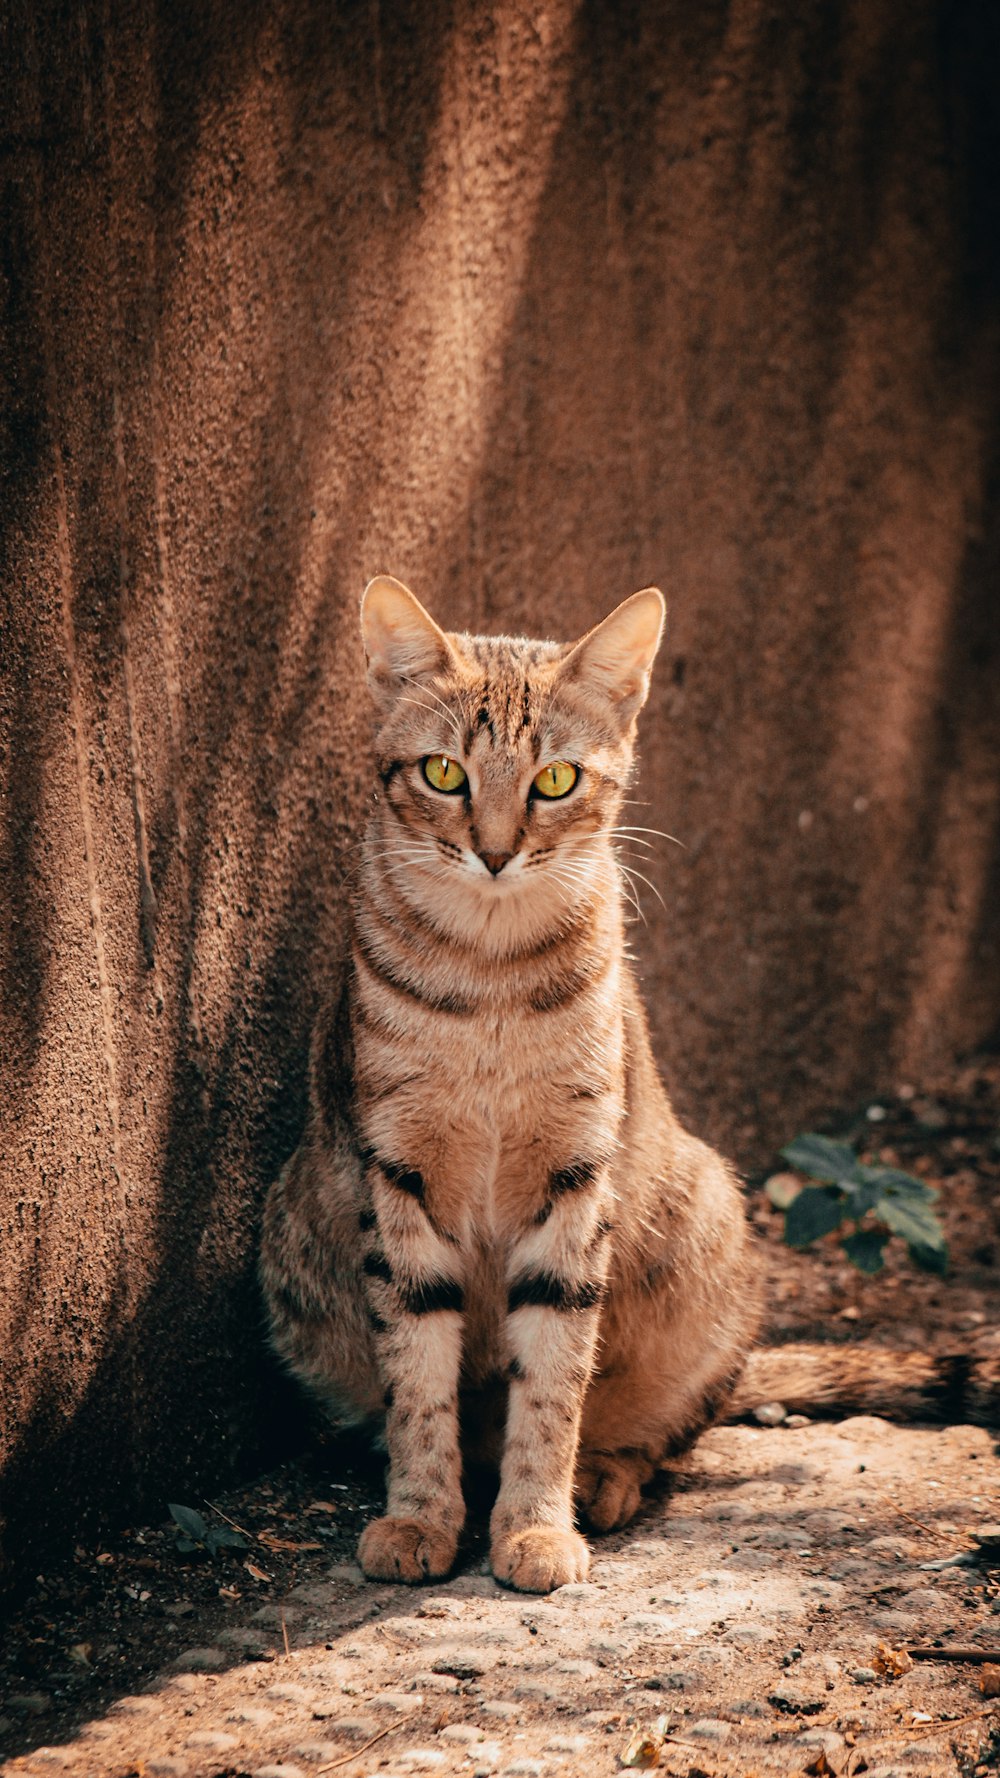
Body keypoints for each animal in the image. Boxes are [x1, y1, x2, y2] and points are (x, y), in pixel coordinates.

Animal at [256, 579, 754, 1600]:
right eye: (444, 773)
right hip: (291, 1248)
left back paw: (603, 1478)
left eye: (554, 780)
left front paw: (533, 1525)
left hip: (710, 1227)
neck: (490, 977)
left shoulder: (576, 1174)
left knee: (663, 1431)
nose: (492, 852)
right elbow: (415, 1378)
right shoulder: (395, 1171)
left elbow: (555, 1379)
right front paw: (420, 1516)